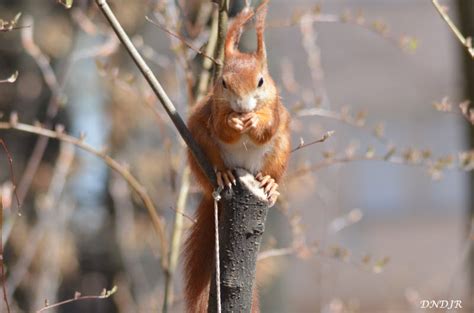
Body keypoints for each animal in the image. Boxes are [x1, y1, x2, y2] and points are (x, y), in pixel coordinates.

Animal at [184, 1, 288, 310]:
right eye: (223, 83)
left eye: (261, 81)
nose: (242, 107)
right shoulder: (212, 110)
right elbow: (222, 127)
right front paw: (233, 123)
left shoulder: (276, 111)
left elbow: (268, 127)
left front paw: (253, 122)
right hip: (199, 146)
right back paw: (224, 173)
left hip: (280, 152)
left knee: (270, 170)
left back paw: (269, 184)